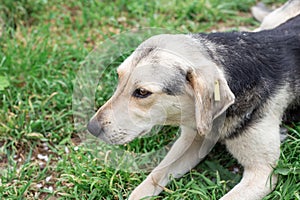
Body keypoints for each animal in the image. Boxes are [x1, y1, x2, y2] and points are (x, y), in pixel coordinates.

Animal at [88, 0, 298, 199]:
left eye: (142, 92)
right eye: (119, 77)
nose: (91, 128)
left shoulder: (262, 173)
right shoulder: (191, 139)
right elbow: (152, 178)